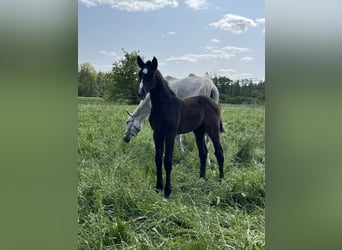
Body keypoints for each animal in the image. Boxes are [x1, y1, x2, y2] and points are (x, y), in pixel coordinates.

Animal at [137, 56, 224, 199]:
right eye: (139, 75)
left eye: (151, 75)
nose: (140, 93)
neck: (164, 106)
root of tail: (215, 104)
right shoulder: (157, 133)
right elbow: (158, 159)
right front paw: (158, 188)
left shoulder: (170, 134)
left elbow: (167, 161)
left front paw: (167, 191)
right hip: (199, 132)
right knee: (203, 153)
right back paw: (201, 180)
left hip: (213, 130)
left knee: (219, 152)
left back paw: (221, 181)